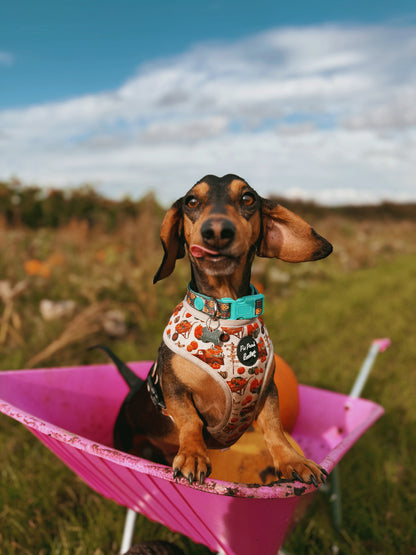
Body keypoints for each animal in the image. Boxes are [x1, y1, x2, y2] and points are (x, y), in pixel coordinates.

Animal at [110, 174, 332, 486]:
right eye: (192, 201)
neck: (225, 312)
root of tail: (132, 389)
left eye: (248, 198)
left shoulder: (267, 392)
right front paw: (193, 454)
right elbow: (189, 420)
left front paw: (292, 460)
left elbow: (274, 428)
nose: (216, 231)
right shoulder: (175, 389)